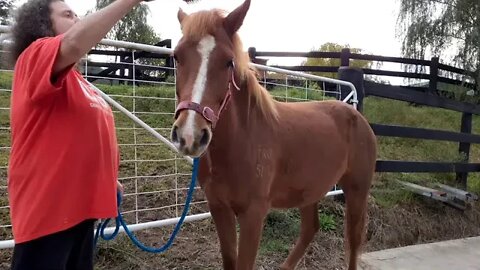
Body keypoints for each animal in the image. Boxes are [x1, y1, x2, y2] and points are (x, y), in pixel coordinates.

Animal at [171, 1, 376, 268]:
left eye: (228, 61)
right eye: (176, 56)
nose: (190, 135)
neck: (242, 140)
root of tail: (357, 116)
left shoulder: (253, 215)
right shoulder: (219, 208)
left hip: (357, 191)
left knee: (353, 241)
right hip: (309, 191)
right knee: (310, 228)